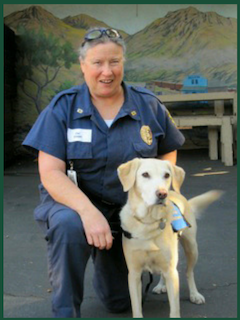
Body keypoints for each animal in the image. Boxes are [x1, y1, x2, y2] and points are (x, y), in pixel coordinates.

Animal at [117, 159, 222, 318]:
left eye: (166, 175)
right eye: (145, 174)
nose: (162, 194)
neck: (149, 222)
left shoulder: (172, 272)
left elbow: (175, 308)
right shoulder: (134, 273)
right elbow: (137, 308)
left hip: (191, 248)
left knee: (189, 272)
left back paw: (194, 294)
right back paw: (161, 285)